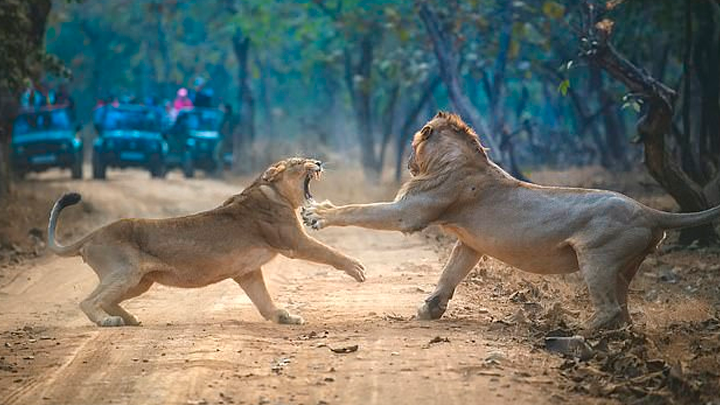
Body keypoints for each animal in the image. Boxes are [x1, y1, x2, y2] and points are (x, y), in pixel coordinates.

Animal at [47, 156, 366, 326]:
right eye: (299, 162)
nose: (319, 161)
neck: (272, 192)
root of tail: (91, 235)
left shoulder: (248, 272)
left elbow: (263, 301)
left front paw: (283, 316)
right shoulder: (294, 243)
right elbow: (328, 252)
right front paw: (356, 267)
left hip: (141, 281)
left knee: (109, 300)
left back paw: (130, 319)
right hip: (125, 271)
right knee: (88, 300)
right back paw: (108, 322)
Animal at [304, 112, 720, 330]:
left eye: (412, 145)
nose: (407, 162)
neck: (458, 160)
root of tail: (650, 211)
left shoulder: (411, 212)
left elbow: (360, 209)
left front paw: (318, 214)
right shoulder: (469, 242)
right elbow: (449, 274)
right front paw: (430, 310)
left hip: (598, 259)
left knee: (609, 309)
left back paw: (575, 332)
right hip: (624, 268)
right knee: (624, 311)